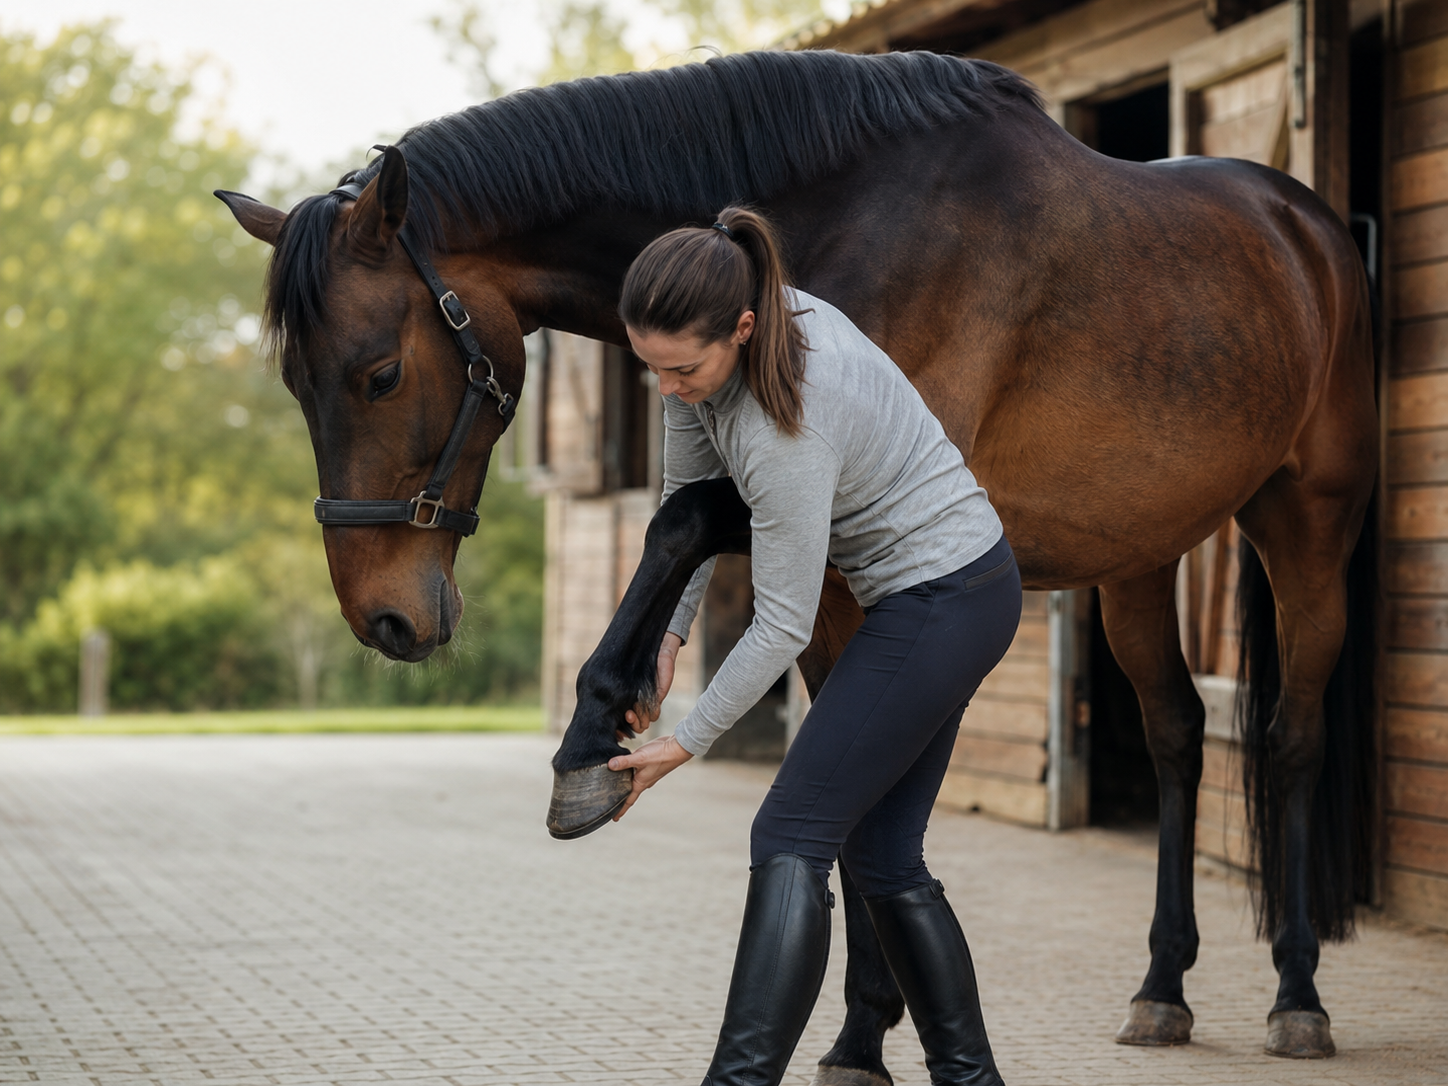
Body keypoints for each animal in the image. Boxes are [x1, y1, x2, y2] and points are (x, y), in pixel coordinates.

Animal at [216, 49, 1376, 1074]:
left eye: (378, 372)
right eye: (294, 383)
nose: (387, 619)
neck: (839, 219)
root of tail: (1310, 227)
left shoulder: (833, 488)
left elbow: (678, 522)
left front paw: (594, 731)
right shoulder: (831, 581)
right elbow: (843, 791)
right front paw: (860, 1038)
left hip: (1305, 527)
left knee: (1291, 738)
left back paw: (1297, 995)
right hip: (1135, 557)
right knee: (1178, 734)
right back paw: (1162, 987)